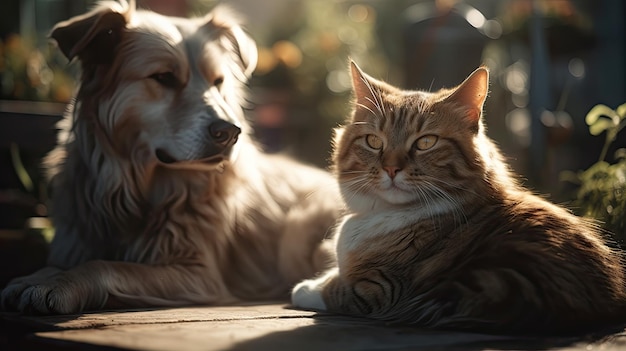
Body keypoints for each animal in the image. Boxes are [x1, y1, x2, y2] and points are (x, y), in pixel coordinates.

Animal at [0, 0, 342, 314]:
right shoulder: (73, 243)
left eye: (218, 82)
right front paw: (38, 277)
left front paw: (59, 284)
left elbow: (105, 265)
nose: (230, 132)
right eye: (163, 77)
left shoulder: (199, 274)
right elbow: (62, 263)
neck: (137, 188)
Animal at [292, 62, 624, 336]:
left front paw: (306, 287)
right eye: (373, 141)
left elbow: (334, 288)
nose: (391, 169)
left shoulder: (381, 290)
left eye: (426, 142)